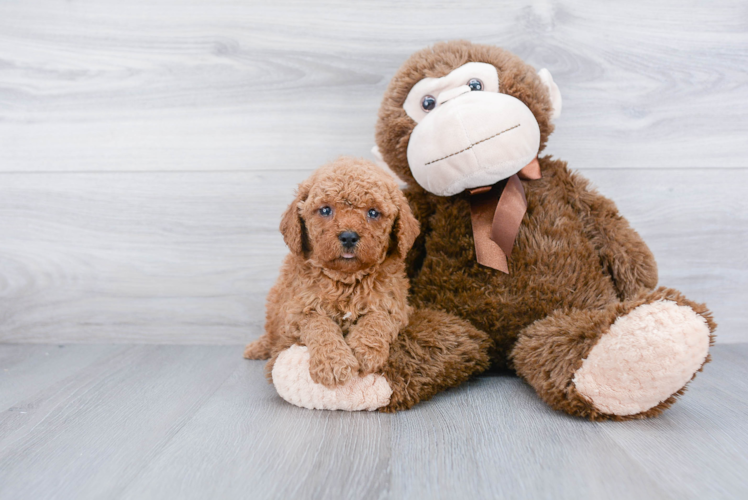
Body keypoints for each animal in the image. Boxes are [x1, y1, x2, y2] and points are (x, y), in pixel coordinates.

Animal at [245, 156, 420, 386]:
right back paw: (258, 347)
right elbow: (320, 325)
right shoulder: (298, 311)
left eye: (373, 213)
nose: (348, 236)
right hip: (276, 301)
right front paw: (333, 364)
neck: (346, 279)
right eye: (326, 210)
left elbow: (377, 318)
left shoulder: (394, 305)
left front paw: (365, 351)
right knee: (272, 330)